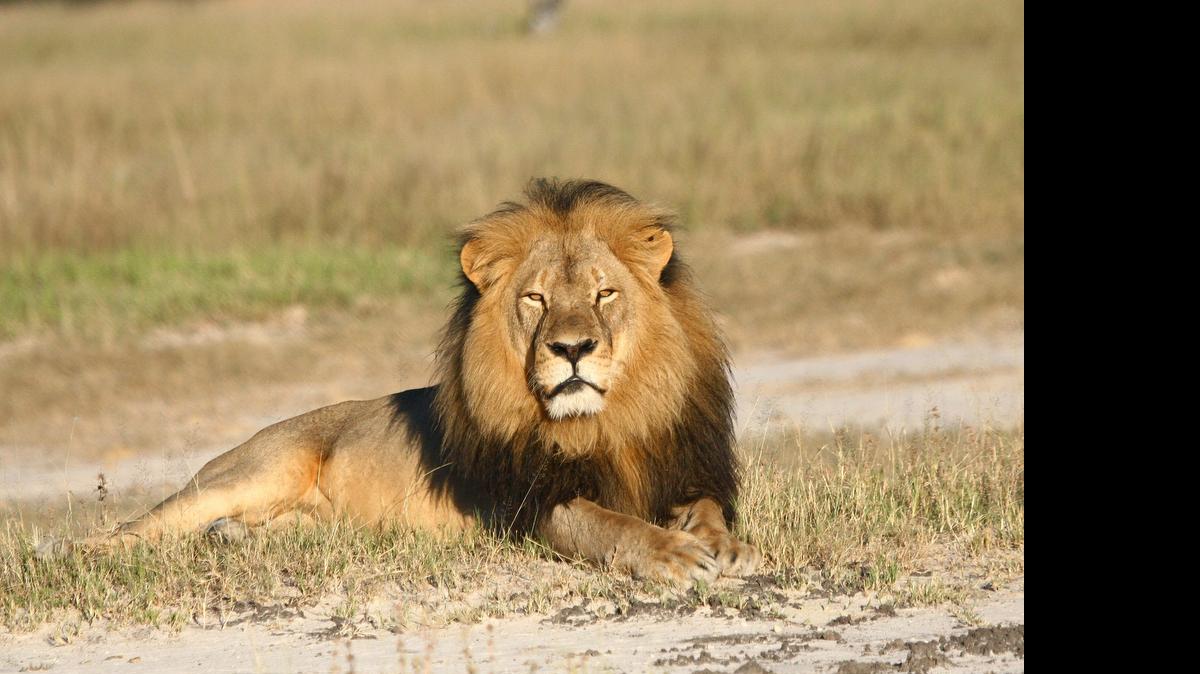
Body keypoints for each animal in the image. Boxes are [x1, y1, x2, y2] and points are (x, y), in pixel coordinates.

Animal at [57, 179, 760, 584]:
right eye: (534, 299)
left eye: (604, 293)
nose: (572, 349)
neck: (605, 423)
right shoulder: (529, 505)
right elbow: (609, 526)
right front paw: (672, 555)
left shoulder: (682, 468)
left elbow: (706, 508)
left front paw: (728, 547)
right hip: (254, 470)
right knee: (138, 526)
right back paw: (76, 554)